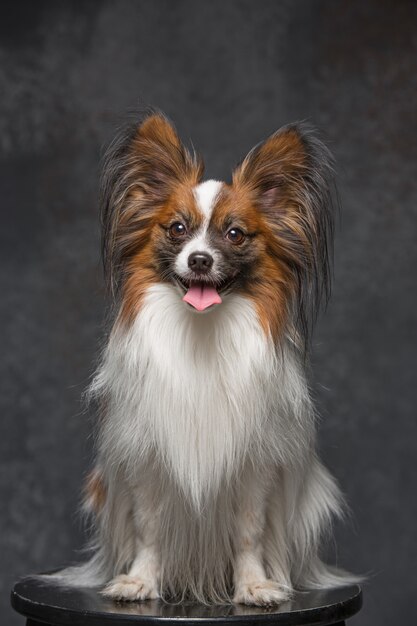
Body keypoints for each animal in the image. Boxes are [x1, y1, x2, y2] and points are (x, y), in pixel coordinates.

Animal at [52, 109, 356, 604]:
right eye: (177, 229)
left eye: (235, 234)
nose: (198, 260)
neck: (202, 334)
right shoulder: (149, 460)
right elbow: (149, 529)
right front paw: (140, 580)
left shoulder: (254, 467)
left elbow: (249, 532)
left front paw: (253, 586)